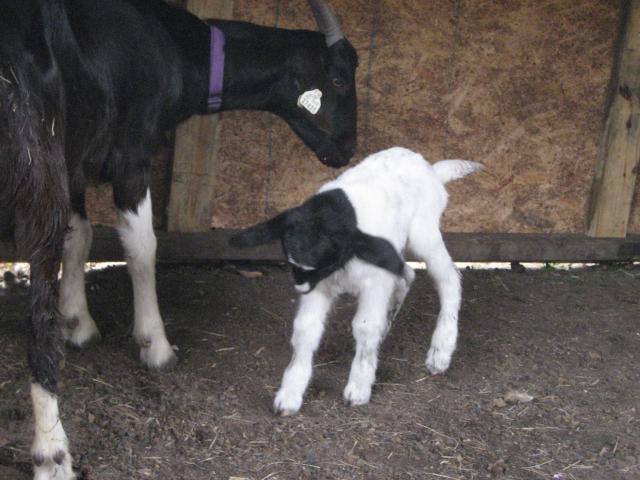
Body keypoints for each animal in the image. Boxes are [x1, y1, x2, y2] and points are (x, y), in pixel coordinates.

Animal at [0, 1, 358, 478]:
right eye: (337, 78)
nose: (348, 147)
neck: (170, 43)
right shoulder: (130, 154)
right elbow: (143, 249)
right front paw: (155, 345)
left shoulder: (77, 158)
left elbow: (81, 236)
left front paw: (78, 321)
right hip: (37, 169)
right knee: (38, 315)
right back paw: (52, 453)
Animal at [230, 146, 480, 412]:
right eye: (289, 259)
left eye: (326, 262)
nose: (300, 286)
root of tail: (430, 169)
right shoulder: (322, 286)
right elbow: (306, 328)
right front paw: (290, 393)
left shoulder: (374, 280)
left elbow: (365, 325)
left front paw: (359, 387)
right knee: (407, 275)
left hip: (424, 233)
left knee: (449, 278)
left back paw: (441, 350)